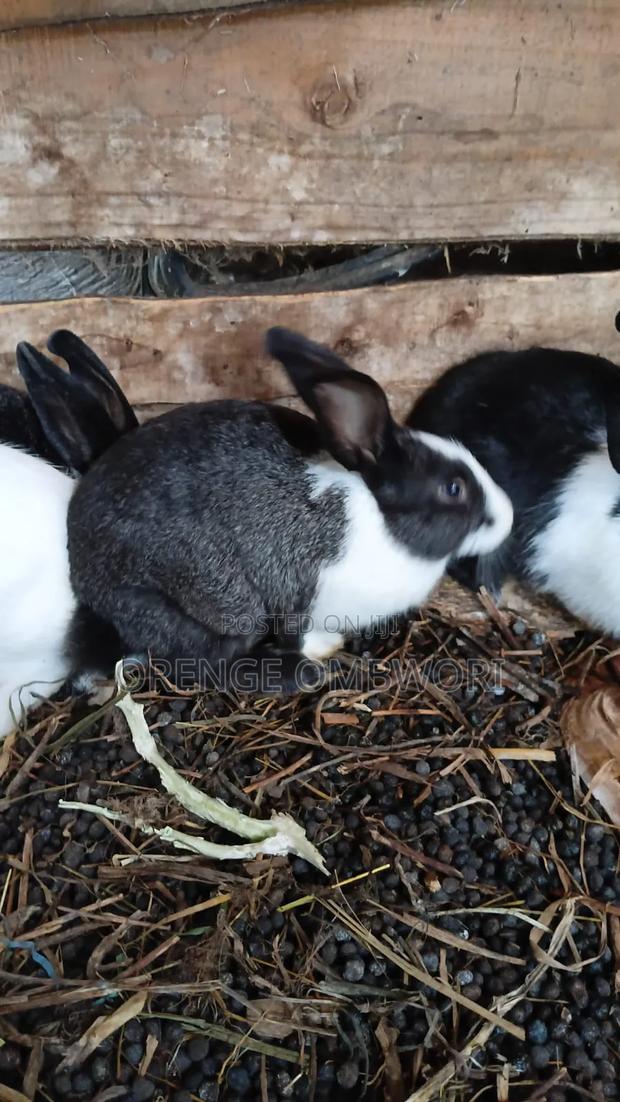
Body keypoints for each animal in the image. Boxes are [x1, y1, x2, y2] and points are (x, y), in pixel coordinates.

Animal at [66, 327, 513, 695]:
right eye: (453, 488)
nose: (508, 517)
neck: (380, 520)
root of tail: (84, 572)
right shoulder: (298, 591)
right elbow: (294, 632)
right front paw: (319, 651)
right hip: (221, 603)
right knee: (202, 663)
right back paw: (295, 676)